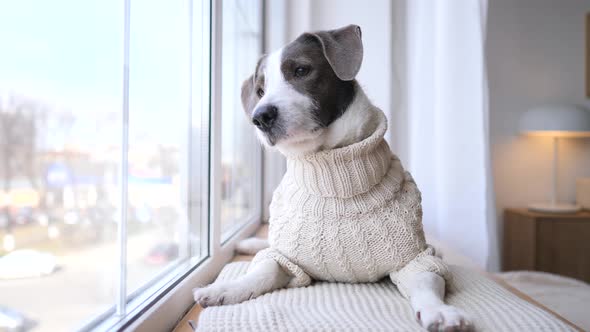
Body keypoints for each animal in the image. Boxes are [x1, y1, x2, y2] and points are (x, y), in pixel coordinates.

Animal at [197, 24, 474, 330]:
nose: (260, 117)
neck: (332, 178)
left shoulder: (413, 259)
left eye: (301, 70)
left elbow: (426, 281)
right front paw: (226, 288)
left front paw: (439, 311)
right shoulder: (286, 259)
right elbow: (266, 268)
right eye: (260, 90)